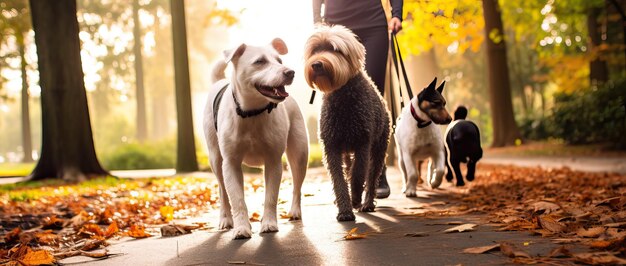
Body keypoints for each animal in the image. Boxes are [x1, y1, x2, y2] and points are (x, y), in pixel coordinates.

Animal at [202, 39, 308, 239]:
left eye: (279, 60)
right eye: (260, 61)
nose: (290, 72)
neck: (252, 113)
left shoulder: (273, 161)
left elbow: (271, 196)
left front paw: (269, 223)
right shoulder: (231, 164)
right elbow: (237, 199)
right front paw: (242, 228)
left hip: (300, 153)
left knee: (297, 185)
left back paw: (295, 211)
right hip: (215, 158)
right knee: (222, 189)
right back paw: (225, 219)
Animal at [304, 25, 390, 221]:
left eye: (334, 49)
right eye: (315, 50)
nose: (316, 64)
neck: (342, 97)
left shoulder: (363, 143)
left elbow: (358, 174)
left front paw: (355, 199)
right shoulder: (331, 146)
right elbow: (339, 178)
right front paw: (344, 209)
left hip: (378, 148)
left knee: (372, 176)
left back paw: (367, 203)